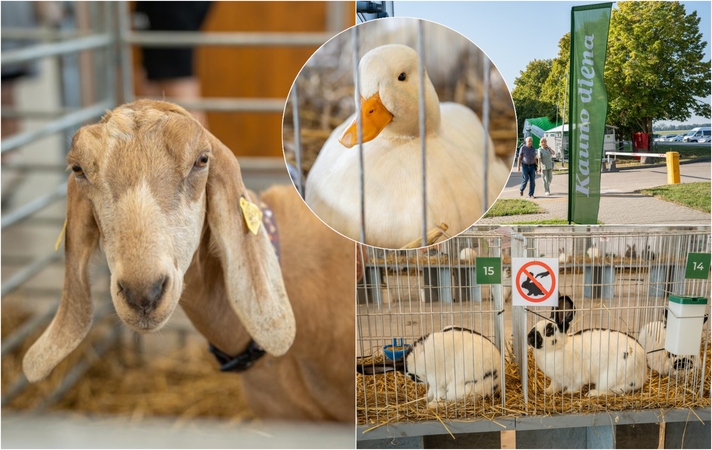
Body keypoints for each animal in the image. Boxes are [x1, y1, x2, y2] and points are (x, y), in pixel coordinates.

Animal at [356, 326, 500, 408]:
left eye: (412, 376)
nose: (416, 380)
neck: (418, 358)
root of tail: (495, 386)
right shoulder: (433, 382)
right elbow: (431, 392)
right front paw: (425, 398)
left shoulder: (437, 379)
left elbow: (437, 393)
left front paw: (430, 403)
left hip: (460, 389)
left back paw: (433, 405)